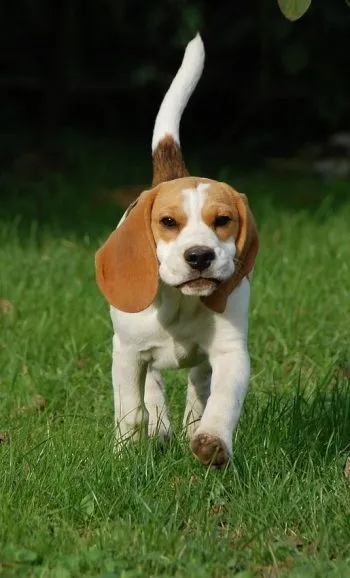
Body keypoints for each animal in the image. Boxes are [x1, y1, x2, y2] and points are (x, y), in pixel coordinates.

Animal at [94, 33, 258, 466]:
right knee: (152, 386)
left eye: (223, 220)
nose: (199, 256)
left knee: (198, 384)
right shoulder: (126, 353)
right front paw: (125, 452)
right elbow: (130, 408)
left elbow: (222, 401)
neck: (181, 304)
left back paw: (188, 426)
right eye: (169, 222)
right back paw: (159, 426)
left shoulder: (231, 352)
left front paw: (211, 441)